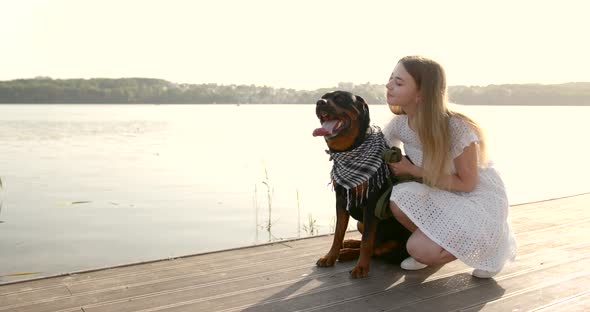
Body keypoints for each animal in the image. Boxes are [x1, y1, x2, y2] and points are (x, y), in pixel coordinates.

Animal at [314, 89, 412, 278]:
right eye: (324, 96)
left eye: (339, 98)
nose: (319, 102)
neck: (351, 150)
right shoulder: (341, 199)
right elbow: (338, 233)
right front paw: (330, 256)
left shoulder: (372, 202)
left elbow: (367, 241)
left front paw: (361, 267)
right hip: (360, 222)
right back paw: (349, 244)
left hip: (395, 246)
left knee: (376, 248)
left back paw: (348, 253)